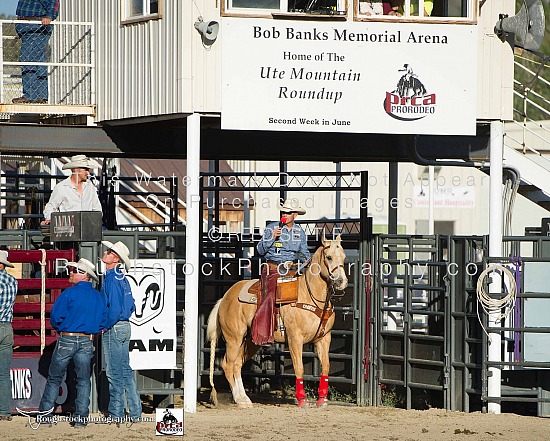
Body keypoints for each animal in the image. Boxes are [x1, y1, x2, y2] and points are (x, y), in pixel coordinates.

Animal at [207, 232, 350, 408]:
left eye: (343, 256)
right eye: (329, 257)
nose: (341, 282)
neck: (309, 296)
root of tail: (225, 297)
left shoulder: (324, 338)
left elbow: (326, 367)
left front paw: (322, 400)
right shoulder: (295, 338)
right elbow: (299, 368)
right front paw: (302, 400)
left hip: (251, 341)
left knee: (237, 364)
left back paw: (244, 398)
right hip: (234, 338)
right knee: (228, 364)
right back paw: (240, 400)